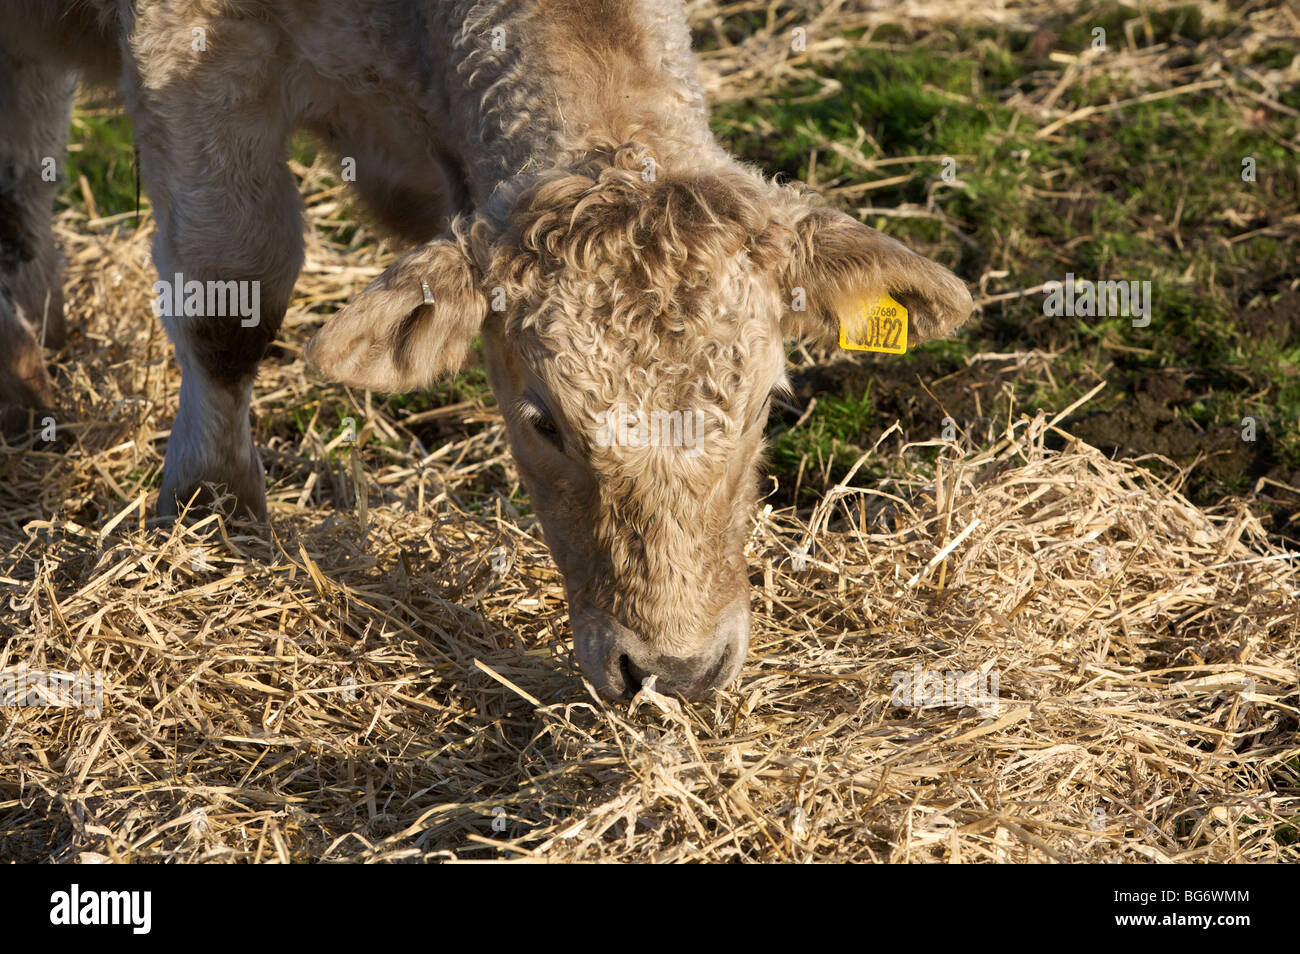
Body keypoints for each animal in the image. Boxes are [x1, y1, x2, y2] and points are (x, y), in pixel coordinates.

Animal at [2, 0, 977, 701]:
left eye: (769, 405)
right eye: (543, 421)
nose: (676, 673)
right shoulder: (196, 52)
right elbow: (228, 301)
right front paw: (214, 518)